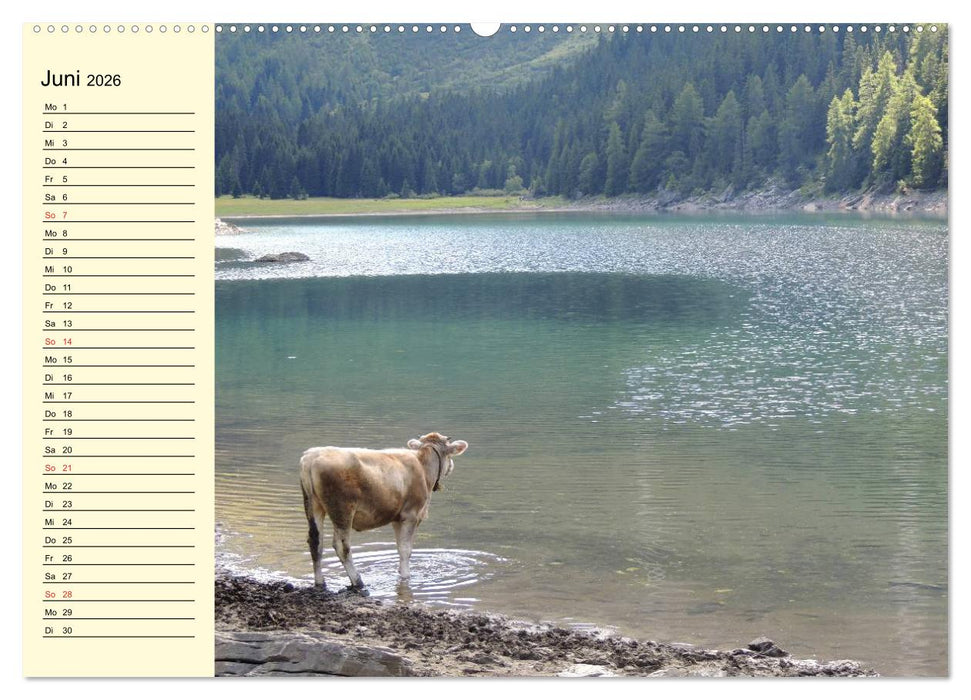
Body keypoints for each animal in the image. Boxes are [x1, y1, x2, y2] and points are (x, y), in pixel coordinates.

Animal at [299, 432, 469, 590]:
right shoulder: (411, 515)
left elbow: (399, 548)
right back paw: (358, 582)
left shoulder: (397, 518)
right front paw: (406, 576)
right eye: (449, 453)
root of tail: (312, 456)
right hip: (342, 510)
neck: (423, 466)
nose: (451, 466)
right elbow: (406, 550)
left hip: (313, 505)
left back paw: (320, 582)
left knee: (316, 542)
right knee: (342, 547)